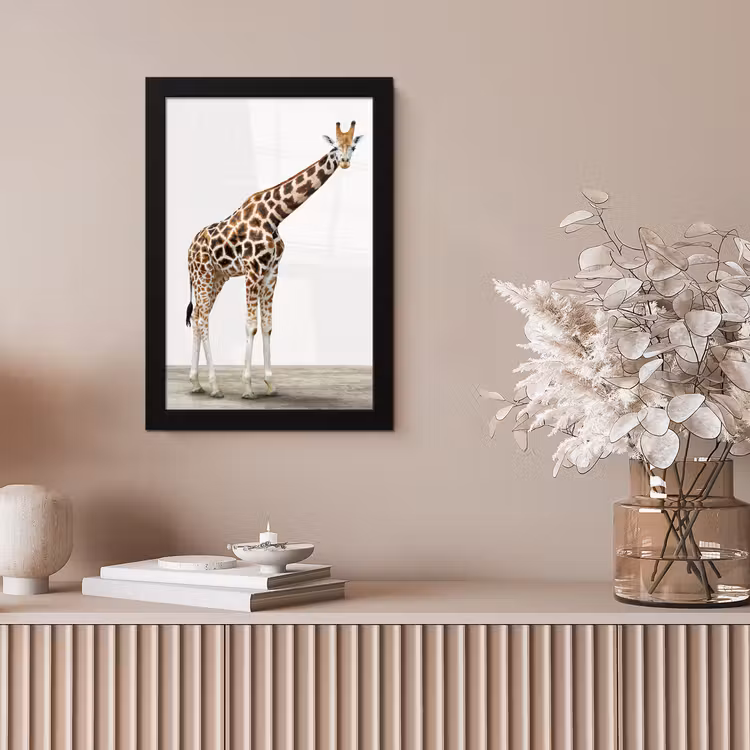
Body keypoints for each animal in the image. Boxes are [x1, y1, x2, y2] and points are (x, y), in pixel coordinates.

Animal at [185, 121, 363, 399]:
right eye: (335, 146)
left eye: (352, 146)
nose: (344, 162)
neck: (275, 215)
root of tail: (189, 249)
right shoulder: (252, 271)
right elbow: (251, 326)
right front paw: (248, 387)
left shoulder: (271, 272)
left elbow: (268, 325)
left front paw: (270, 384)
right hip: (202, 275)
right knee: (203, 320)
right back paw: (214, 386)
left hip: (216, 278)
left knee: (197, 318)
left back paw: (196, 383)